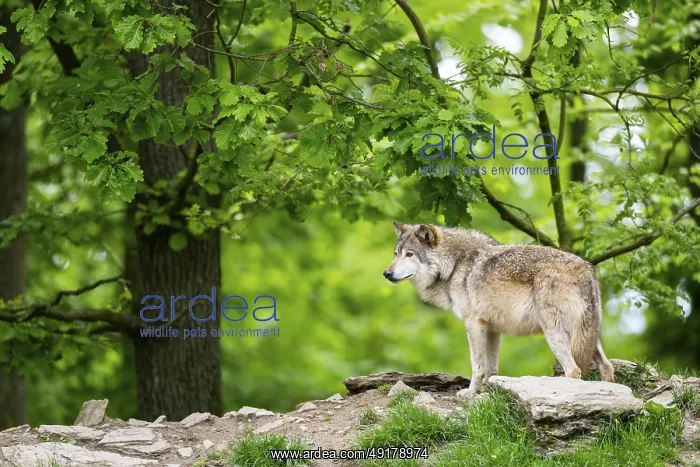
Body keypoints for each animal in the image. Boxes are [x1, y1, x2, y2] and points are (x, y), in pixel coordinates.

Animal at [383, 222, 615, 398]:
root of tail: (586, 269)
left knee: (574, 371)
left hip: (555, 335)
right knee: (607, 366)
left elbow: (477, 366)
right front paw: (488, 392)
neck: (455, 265)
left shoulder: (473, 324)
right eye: (395, 254)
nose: (387, 273)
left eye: (410, 254)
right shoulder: (493, 329)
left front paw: (470, 393)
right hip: (589, 336)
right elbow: (491, 369)